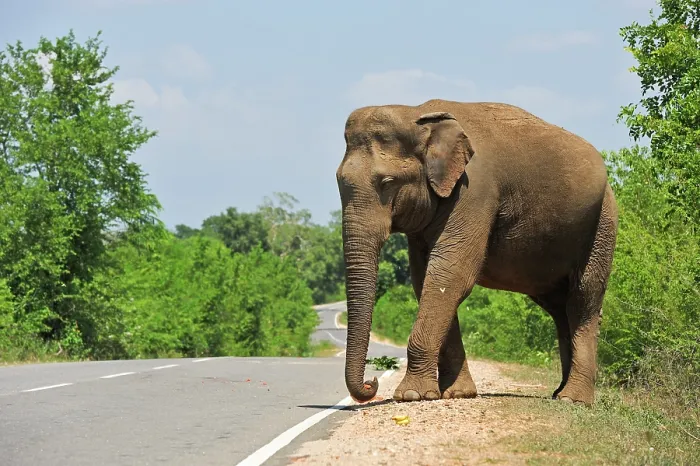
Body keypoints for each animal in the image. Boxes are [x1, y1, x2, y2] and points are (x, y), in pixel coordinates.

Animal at [335, 99, 618, 406]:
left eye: (387, 183)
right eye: (338, 181)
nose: (371, 383)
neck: (416, 113)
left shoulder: (474, 190)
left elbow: (451, 274)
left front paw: (411, 396)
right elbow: (425, 279)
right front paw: (457, 394)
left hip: (603, 222)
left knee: (583, 299)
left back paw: (573, 399)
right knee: (558, 307)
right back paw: (558, 394)